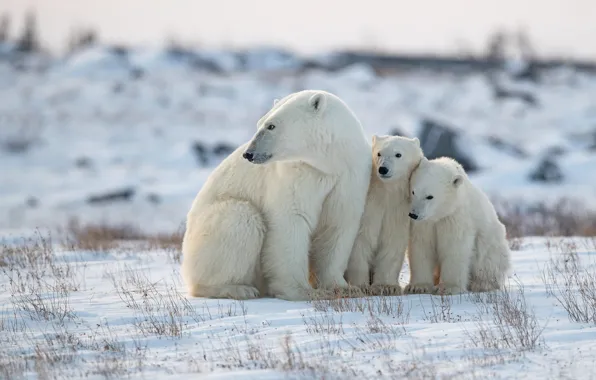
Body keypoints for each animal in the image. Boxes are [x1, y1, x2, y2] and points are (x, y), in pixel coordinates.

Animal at [180, 90, 372, 302]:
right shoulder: (297, 175)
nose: (249, 154)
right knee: (241, 218)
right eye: (260, 123)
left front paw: (344, 287)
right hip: (203, 237)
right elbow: (291, 223)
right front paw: (302, 291)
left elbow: (338, 224)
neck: (329, 162)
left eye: (271, 126)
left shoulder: (349, 175)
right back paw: (238, 288)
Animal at [344, 135, 424, 296]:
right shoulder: (369, 209)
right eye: (379, 153)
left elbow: (391, 244)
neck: (385, 193)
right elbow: (360, 242)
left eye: (398, 154)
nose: (383, 169)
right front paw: (361, 286)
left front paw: (386, 286)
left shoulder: (397, 211)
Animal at [406, 156, 512, 296]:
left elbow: (454, 247)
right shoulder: (424, 224)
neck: (440, 214)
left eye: (429, 196)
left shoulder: (455, 218)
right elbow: (421, 246)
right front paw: (418, 287)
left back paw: (481, 284)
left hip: (492, 242)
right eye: (413, 192)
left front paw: (448, 287)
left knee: (487, 260)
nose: (413, 214)